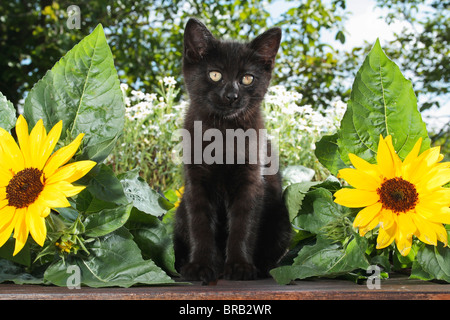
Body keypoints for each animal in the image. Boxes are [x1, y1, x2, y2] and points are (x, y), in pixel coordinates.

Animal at [172, 18, 292, 282]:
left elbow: (243, 226)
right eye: (215, 74)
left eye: (247, 78)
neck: (224, 132)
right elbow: (200, 224)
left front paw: (240, 266)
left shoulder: (250, 181)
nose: (232, 95)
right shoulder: (196, 182)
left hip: (282, 220)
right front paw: (200, 266)